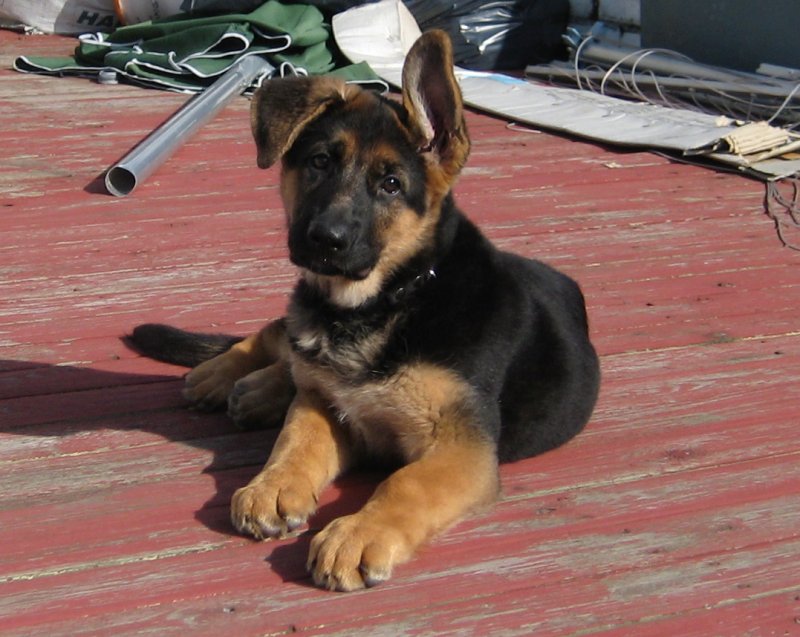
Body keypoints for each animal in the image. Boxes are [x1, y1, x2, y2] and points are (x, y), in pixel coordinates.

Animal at [128, 30, 600, 592]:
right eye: (319, 163)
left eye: (391, 184)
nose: (325, 240)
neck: (385, 301)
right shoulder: (331, 405)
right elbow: (297, 439)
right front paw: (273, 484)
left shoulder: (461, 449)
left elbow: (406, 483)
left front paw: (358, 533)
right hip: (299, 314)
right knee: (279, 337)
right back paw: (228, 375)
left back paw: (257, 390)